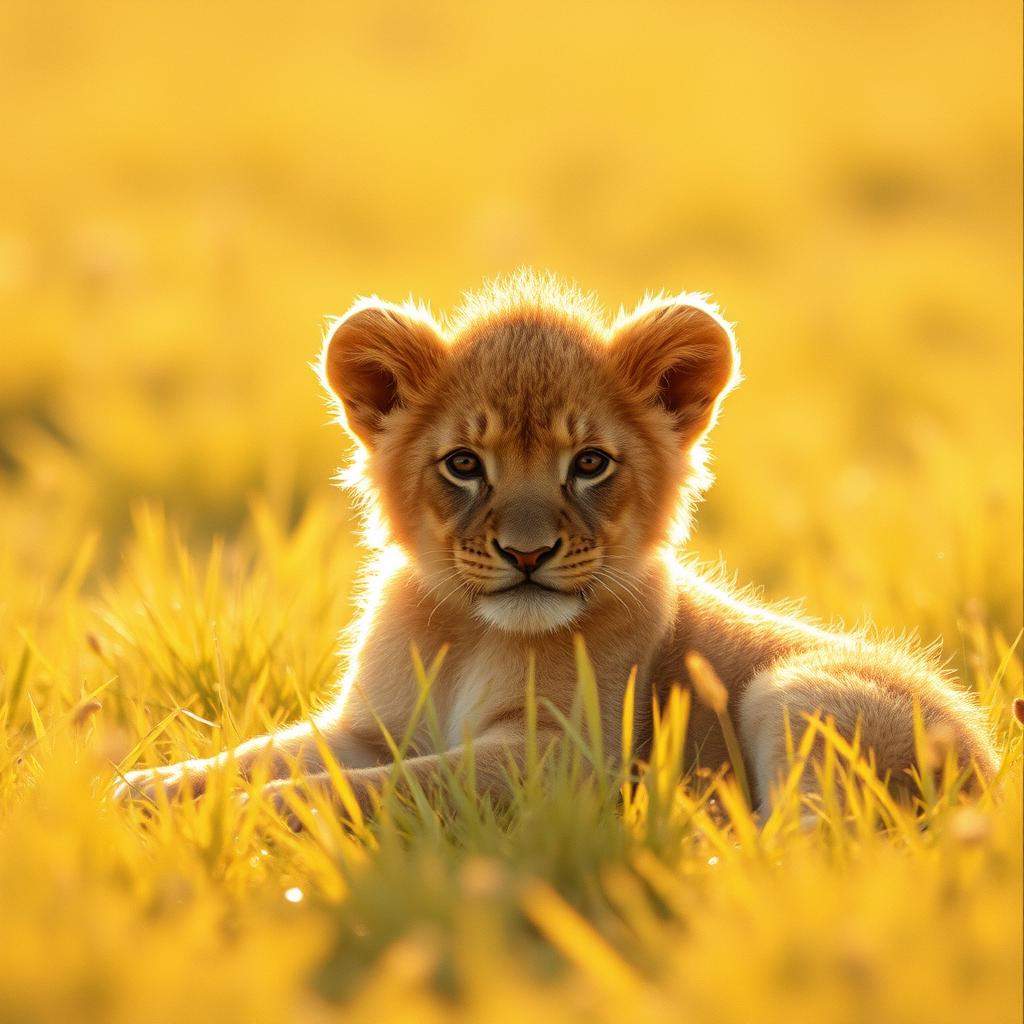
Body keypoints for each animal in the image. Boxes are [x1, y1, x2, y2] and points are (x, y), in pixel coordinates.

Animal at [115, 272, 997, 818]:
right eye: (465, 465)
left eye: (590, 464)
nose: (527, 555)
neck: (468, 636)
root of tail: (990, 767)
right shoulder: (370, 727)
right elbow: (263, 752)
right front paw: (148, 791)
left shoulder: (563, 761)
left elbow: (385, 787)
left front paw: (250, 817)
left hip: (802, 691)